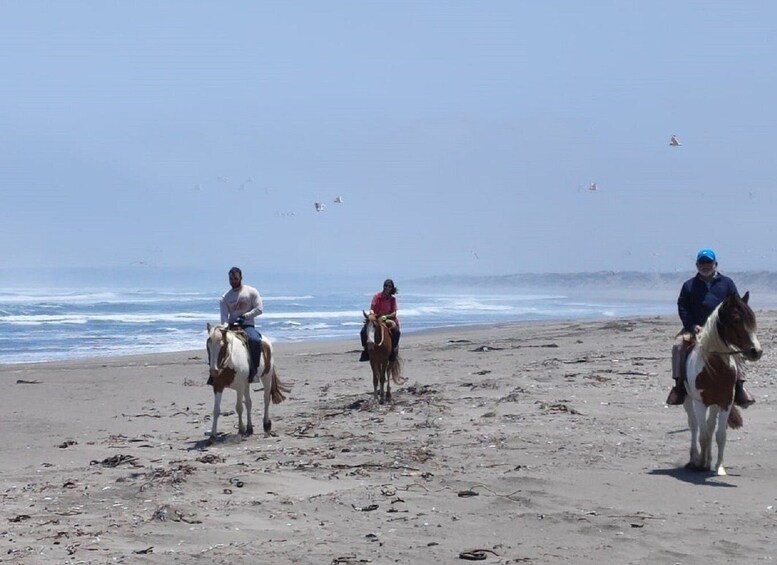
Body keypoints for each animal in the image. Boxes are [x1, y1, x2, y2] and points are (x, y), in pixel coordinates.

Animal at [684, 294, 760, 474]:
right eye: (736, 319)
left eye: (752, 318)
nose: (756, 351)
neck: (714, 368)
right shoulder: (700, 403)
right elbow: (703, 435)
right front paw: (700, 465)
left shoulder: (725, 402)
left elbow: (719, 435)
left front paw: (719, 467)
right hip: (688, 401)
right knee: (694, 426)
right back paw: (694, 459)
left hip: (714, 404)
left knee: (710, 426)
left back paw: (708, 460)